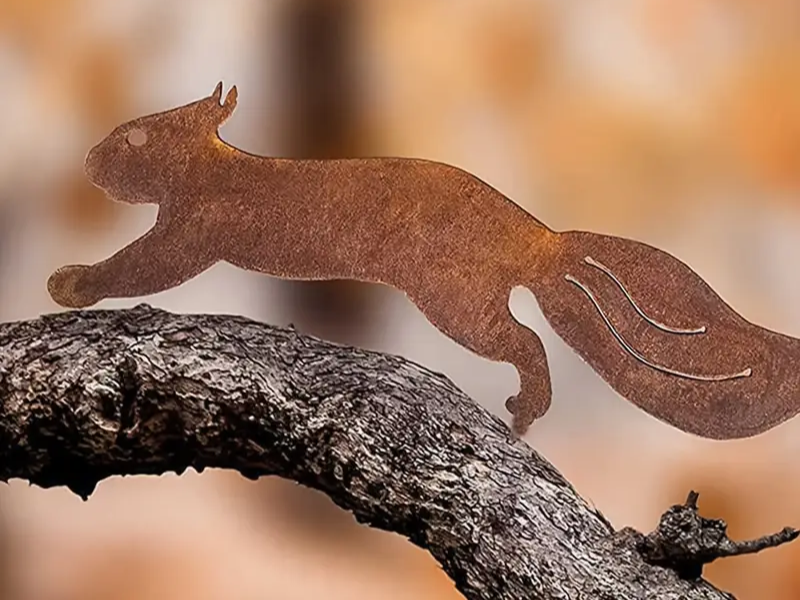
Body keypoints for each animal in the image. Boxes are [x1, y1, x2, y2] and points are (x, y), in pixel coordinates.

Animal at [48, 82, 800, 441]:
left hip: (455, 301)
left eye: (133, 137)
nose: (87, 161)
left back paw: (523, 411)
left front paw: (69, 282)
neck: (214, 166)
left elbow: (136, 267)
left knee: (525, 342)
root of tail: (538, 236)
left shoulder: (189, 234)